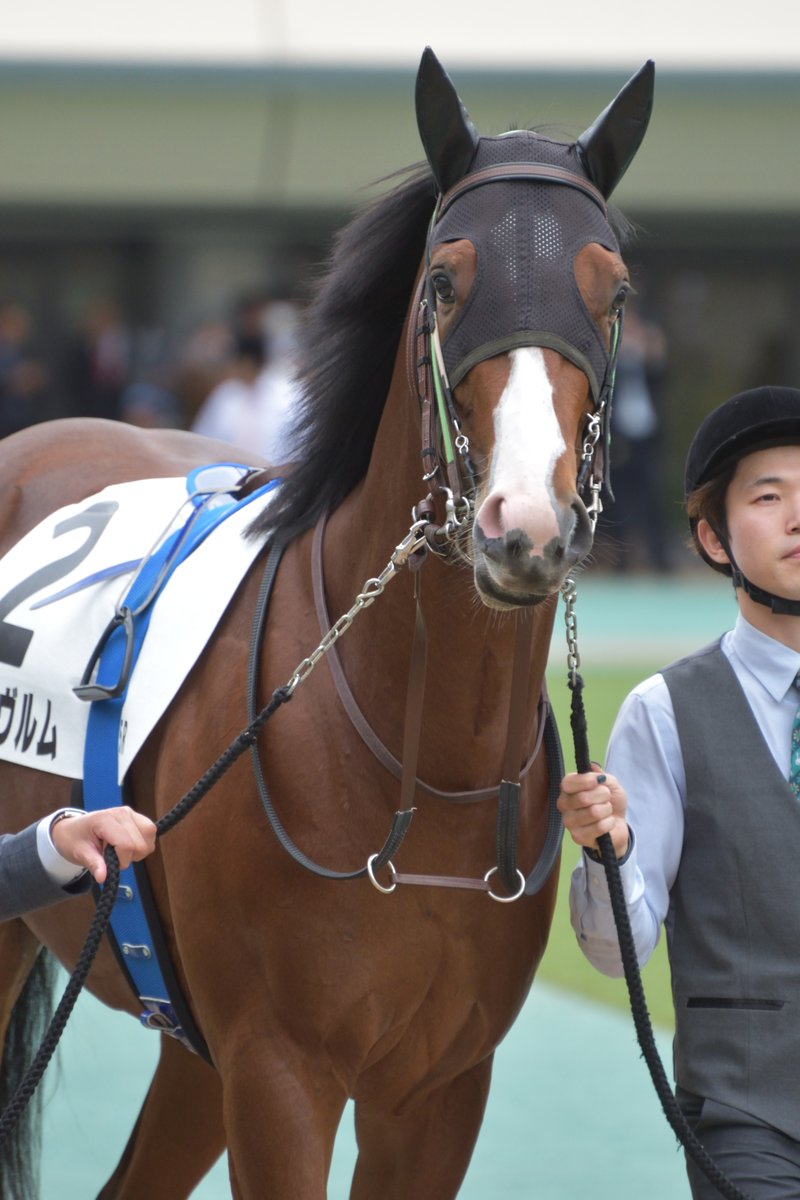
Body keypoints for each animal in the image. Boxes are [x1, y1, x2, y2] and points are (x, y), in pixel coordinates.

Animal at [0, 48, 653, 1199]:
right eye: (445, 281)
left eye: (611, 291)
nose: (523, 527)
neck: (421, 770)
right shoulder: (279, 1073)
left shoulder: (437, 1093)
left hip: (191, 1045)